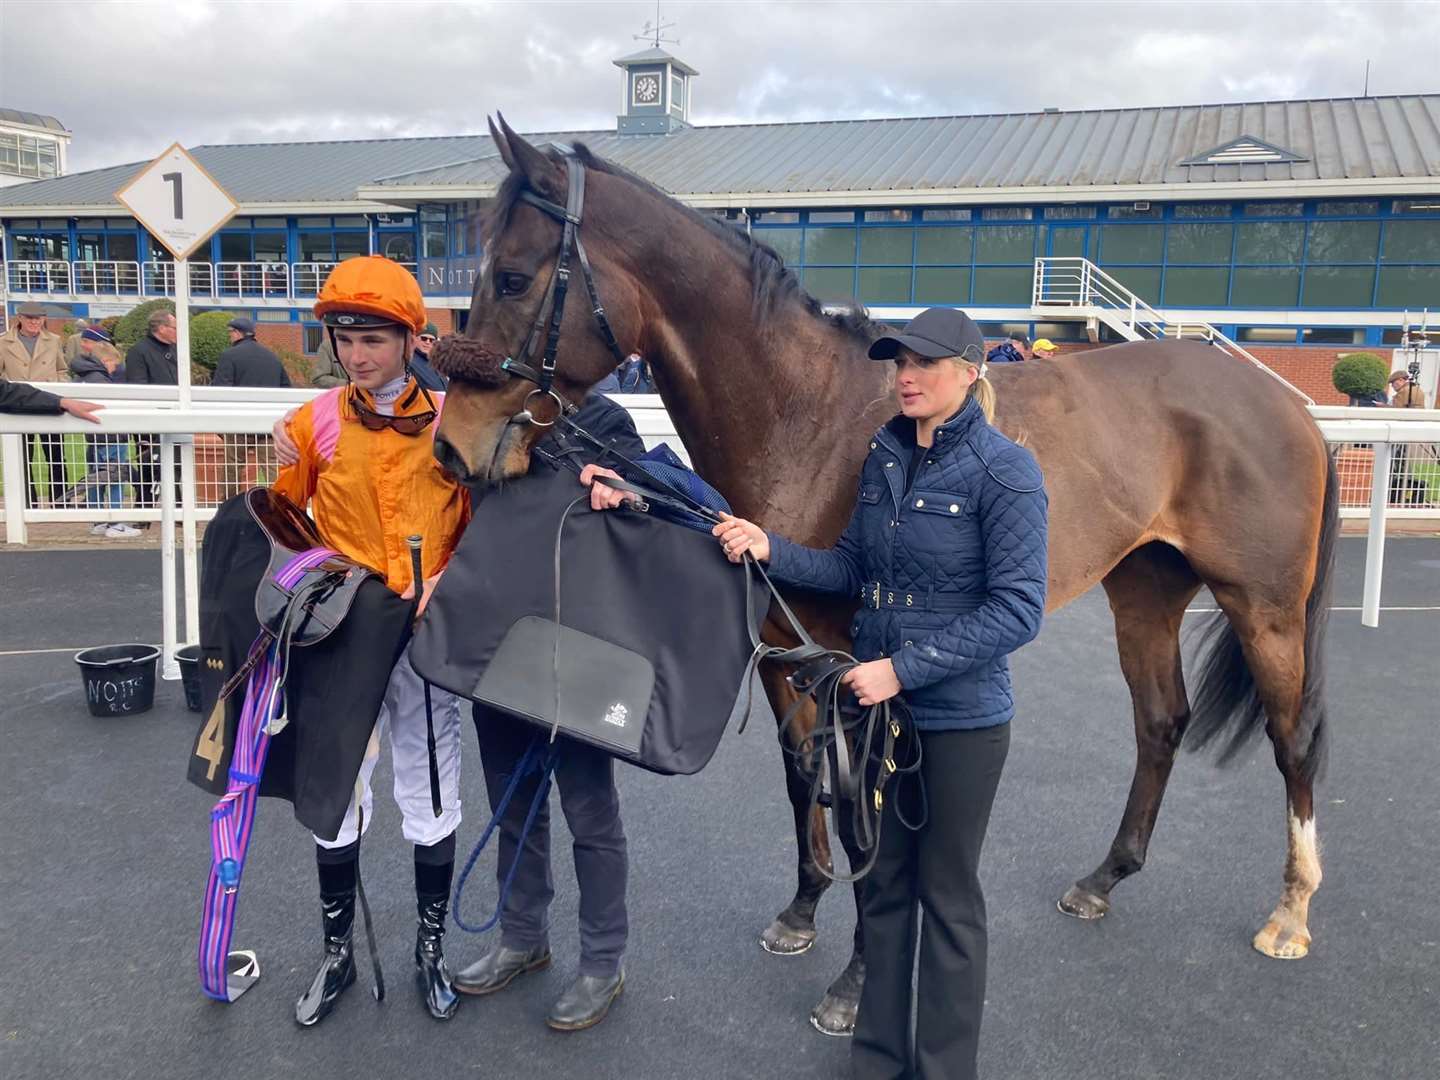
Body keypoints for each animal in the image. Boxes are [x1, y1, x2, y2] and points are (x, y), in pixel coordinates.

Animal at [429, 114, 1336, 1036]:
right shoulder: (786, 653)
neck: (807, 417)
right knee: (1160, 723)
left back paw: (1293, 912)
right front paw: (801, 912)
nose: (452, 448)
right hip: (1144, 592)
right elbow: (805, 780)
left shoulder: (862, 668)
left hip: (1264, 607)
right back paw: (1103, 879)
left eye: (513, 276)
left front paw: (858, 980)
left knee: (1292, 737)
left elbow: (867, 812)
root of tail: (1284, 403)